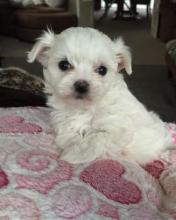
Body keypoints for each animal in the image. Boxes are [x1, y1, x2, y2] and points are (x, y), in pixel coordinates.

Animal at [27, 27, 172, 164]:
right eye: (64, 65)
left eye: (102, 70)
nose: (81, 85)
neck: (84, 108)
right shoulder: (65, 121)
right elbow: (69, 135)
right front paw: (71, 148)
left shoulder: (116, 127)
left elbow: (97, 137)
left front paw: (74, 156)